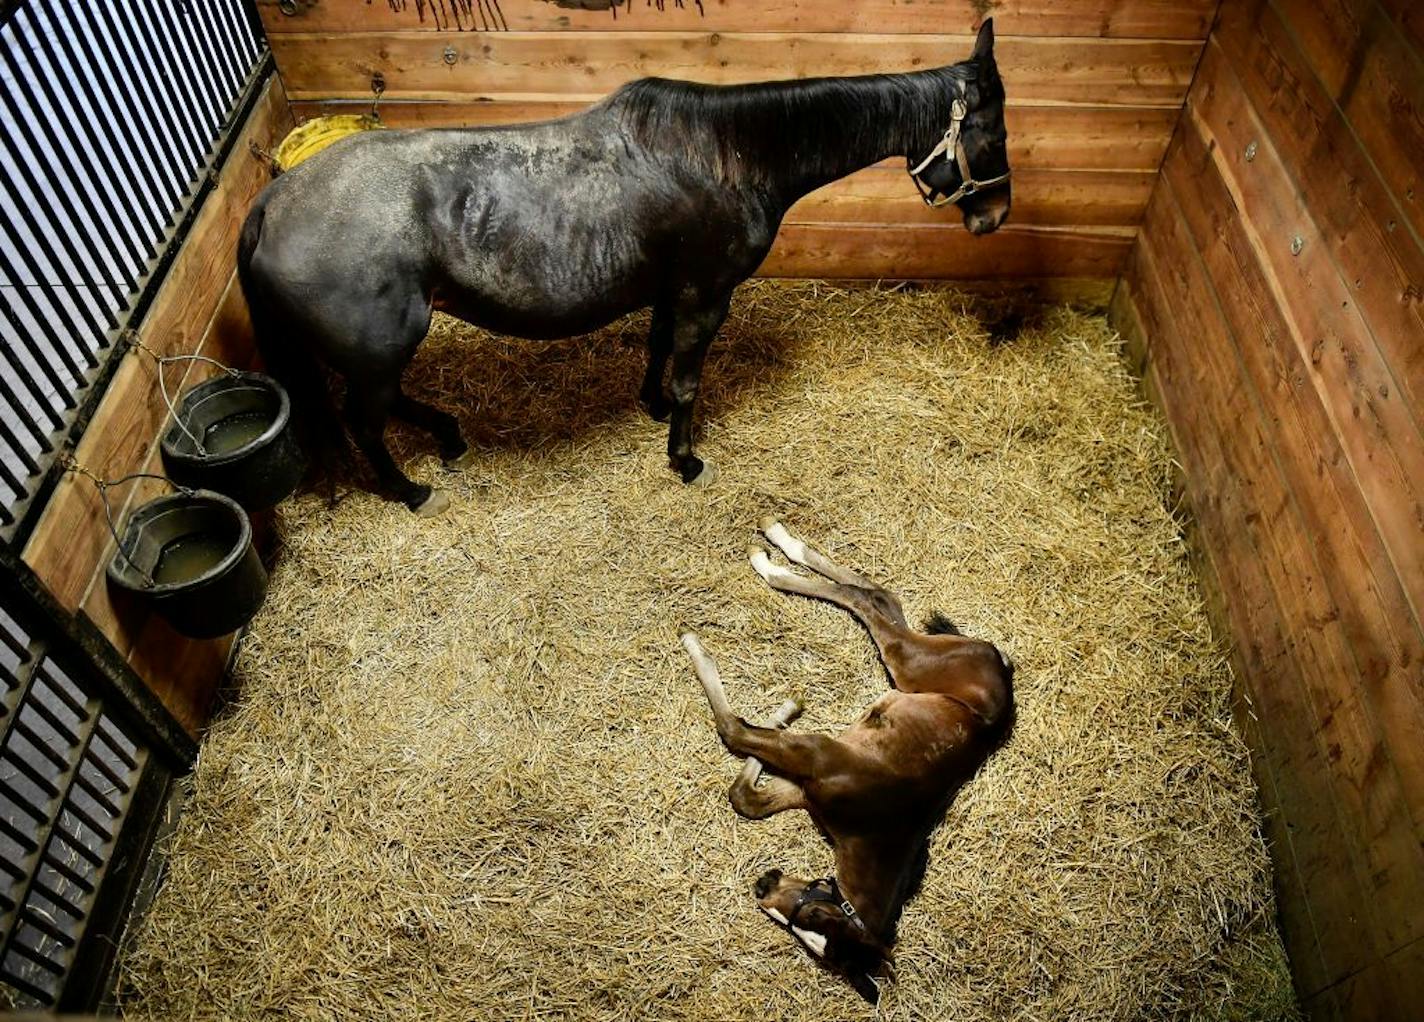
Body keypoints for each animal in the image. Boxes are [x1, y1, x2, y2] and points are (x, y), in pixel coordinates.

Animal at [677, 523, 1013, 1002]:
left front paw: (780, 707)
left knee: (873, 599)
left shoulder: (807, 774)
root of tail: (1002, 667)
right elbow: (738, 742)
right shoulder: (814, 759)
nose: (763, 885)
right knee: (873, 598)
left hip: (909, 665)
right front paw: (780, 703)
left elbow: (741, 775)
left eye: (810, 924)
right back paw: (770, 548)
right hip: (909, 663)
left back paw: (771, 554)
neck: (873, 821)